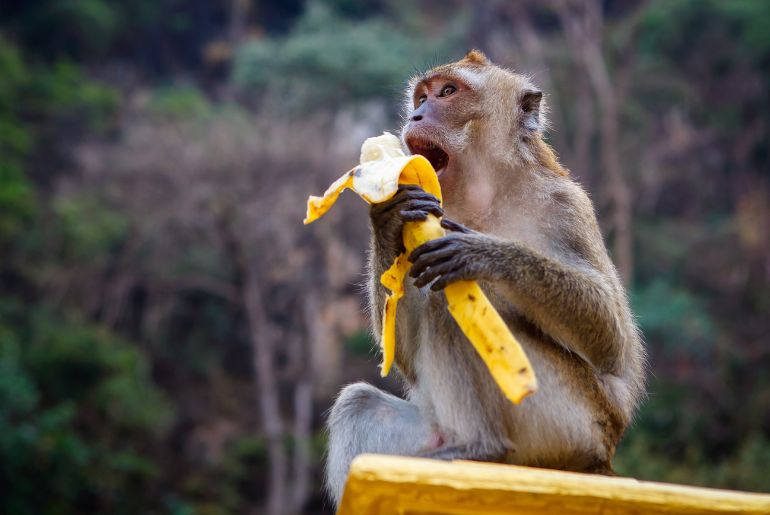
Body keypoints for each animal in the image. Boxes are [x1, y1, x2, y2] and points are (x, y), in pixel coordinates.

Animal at [322, 50, 640, 506]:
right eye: (422, 96)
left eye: (448, 92)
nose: (416, 115)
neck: (483, 194)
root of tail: (599, 461)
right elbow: (403, 353)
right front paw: (387, 214)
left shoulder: (565, 206)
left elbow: (612, 344)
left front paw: (482, 253)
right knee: (361, 401)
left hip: (565, 422)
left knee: (450, 303)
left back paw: (481, 446)